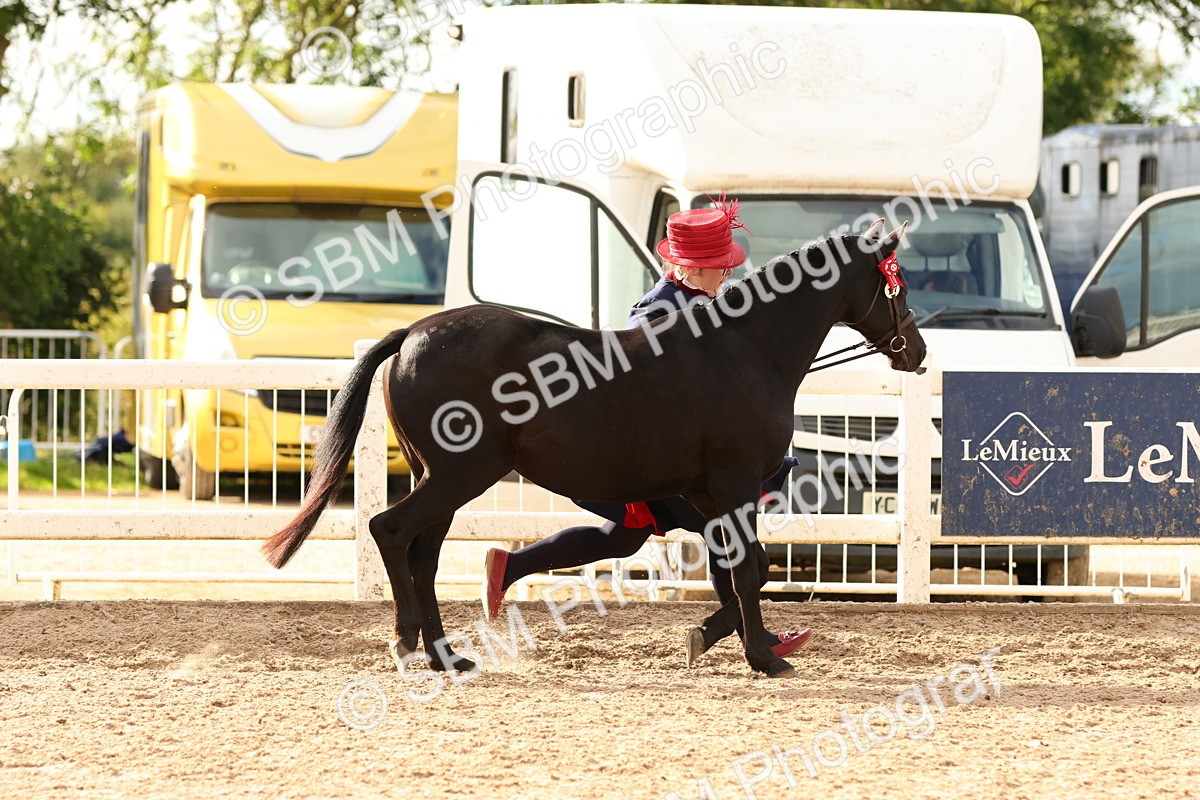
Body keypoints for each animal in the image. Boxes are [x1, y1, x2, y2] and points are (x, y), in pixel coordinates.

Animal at [263, 219, 927, 678]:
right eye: (897, 284)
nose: (917, 351)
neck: (743, 349)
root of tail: (412, 334)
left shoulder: (705, 495)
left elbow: (748, 569)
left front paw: (731, 639)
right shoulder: (734, 487)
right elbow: (745, 571)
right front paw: (764, 656)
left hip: (444, 481)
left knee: (423, 556)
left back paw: (446, 655)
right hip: (457, 476)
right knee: (391, 532)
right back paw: (407, 643)